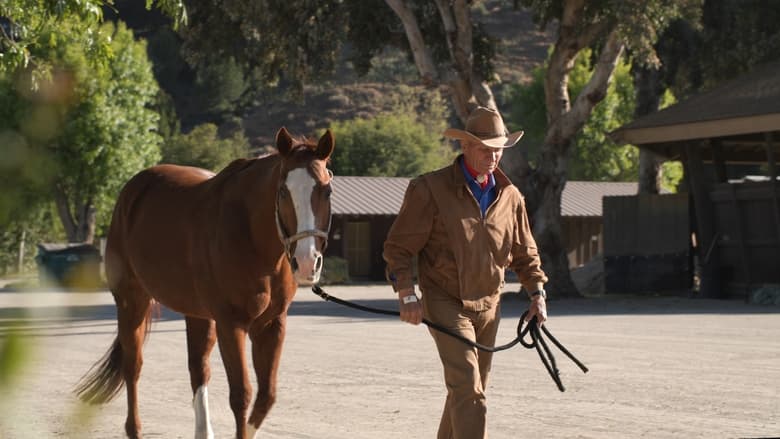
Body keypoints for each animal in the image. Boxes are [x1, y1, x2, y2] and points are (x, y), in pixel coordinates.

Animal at [76, 128, 336, 439]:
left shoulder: (272, 325)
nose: (307, 262)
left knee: (198, 369)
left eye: (327, 190)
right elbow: (242, 395)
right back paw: (134, 428)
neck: (252, 238)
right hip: (132, 301)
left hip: (197, 314)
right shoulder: (231, 324)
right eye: (283, 191)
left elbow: (266, 396)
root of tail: (133, 190)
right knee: (133, 366)